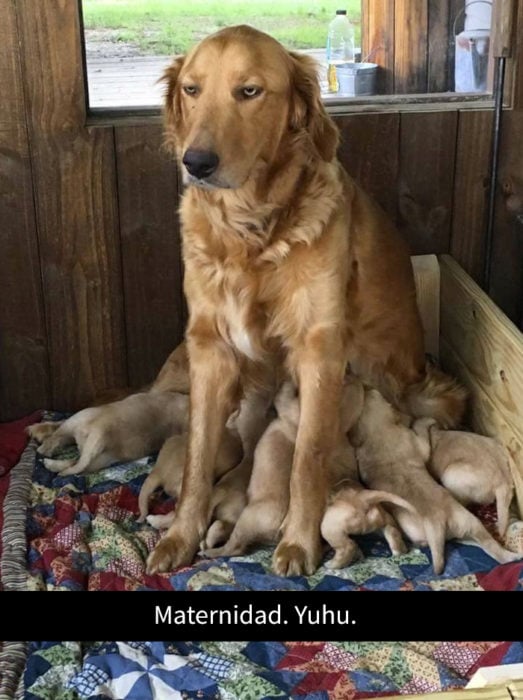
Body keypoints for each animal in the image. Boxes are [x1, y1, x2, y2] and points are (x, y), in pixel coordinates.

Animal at [26, 392, 190, 478]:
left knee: (58, 440)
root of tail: (102, 431)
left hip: (79, 421)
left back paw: (46, 457)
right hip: (101, 457)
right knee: (74, 461)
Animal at [203, 374, 366, 560]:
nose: (352, 376)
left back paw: (210, 551)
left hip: (247, 519)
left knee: (235, 546)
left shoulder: (289, 408)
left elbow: (283, 396)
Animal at [352, 388, 520, 576]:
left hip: (450, 478)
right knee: (487, 545)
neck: (379, 433)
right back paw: (511, 556)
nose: (368, 388)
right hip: (469, 523)